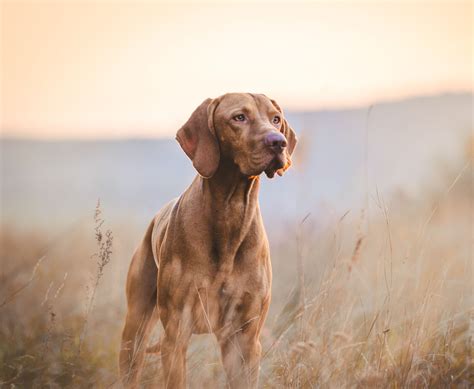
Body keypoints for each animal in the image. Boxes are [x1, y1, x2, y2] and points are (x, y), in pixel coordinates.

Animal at [118, 92, 296, 386]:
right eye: (239, 117)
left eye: (276, 119)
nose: (278, 142)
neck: (231, 212)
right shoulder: (176, 334)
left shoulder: (245, 340)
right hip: (135, 329)